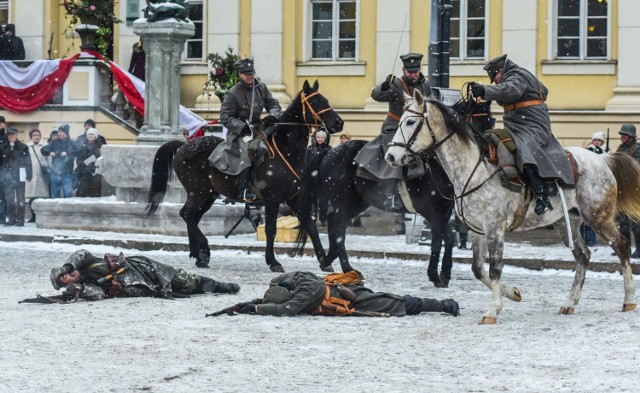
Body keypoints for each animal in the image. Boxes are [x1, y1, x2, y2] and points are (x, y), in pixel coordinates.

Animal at [146, 79, 344, 270]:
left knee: (191, 217)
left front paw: (324, 261)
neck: (287, 150)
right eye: (315, 102)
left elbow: (311, 226)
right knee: (187, 215)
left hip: (208, 195)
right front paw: (273, 262)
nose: (339, 123)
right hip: (198, 192)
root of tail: (183, 145)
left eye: (325, 99)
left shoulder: (296, 198)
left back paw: (199, 256)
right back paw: (204, 250)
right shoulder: (273, 199)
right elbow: (271, 229)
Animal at [292, 86, 492, 286]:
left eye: (489, 118)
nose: (486, 147)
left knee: (335, 226)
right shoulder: (433, 213)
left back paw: (331, 260)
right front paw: (435, 274)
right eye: (480, 117)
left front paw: (444, 273)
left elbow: (447, 238)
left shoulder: (443, 211)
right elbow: (439, 240)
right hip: (343, 202)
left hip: (356, 203)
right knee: (338, 229)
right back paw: (345, 267)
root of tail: (329, 152)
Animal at [384, 90, 640, 324]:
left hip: (598, 217)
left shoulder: (495, 228)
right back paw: (570, 301)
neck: (473, 168)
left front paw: (493, 310)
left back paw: (628, 299)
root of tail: (602, 159)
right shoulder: (478, 230)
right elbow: (478, 269)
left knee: (621, 246)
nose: (390, 156)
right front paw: (512, 293)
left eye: (410, 121)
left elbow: (495, 268)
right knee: (583, 255)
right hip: (566, 223)